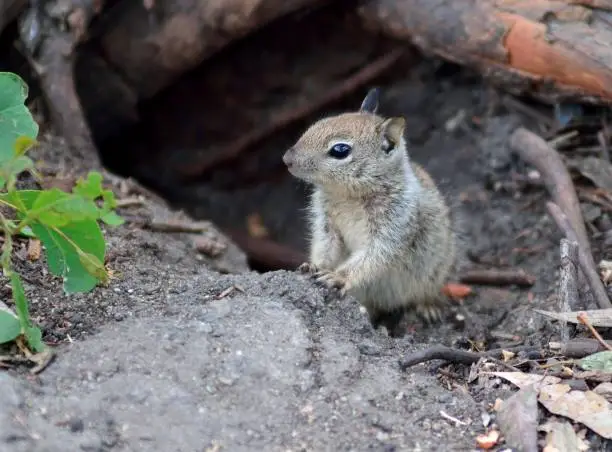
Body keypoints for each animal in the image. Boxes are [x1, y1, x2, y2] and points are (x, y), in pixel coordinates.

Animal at [282, 87, 454, 336]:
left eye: (340, 150)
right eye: (318, 124)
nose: (287, 159)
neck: (348, 195)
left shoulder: (395, 223)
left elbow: (373, 256)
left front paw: (336, 276)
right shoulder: (326, 224)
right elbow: (326, 246)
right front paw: (315, 266)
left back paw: (428, 307)